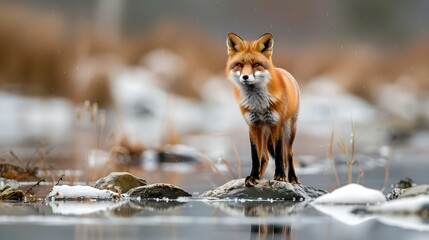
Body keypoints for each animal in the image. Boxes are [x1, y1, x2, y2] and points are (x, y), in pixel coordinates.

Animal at [226, 32, 300, 186]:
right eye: (240, 65)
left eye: (256, 64)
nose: (245, 77)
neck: (258, 105)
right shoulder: (253, 125)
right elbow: (255, 156)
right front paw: (253, 176)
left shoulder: (275, 124)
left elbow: (279, 154)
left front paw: (280, 176)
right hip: (264, 131)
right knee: (265, 156)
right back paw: (260, 177)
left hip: (289, 129)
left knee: (288, 153)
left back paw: (292, 177)